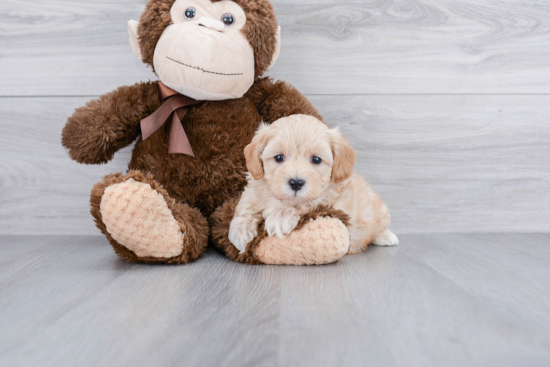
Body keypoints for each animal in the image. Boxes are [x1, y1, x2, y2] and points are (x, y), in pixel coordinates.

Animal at [230, 115, 402, 256]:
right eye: (279, 157)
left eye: (316, 159)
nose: (296, 183)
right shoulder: (255, 188)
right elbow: (247, 202)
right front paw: (240, 230)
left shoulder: (329, 200)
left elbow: (307, 203)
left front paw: (281, 217)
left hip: (379, 211)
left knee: (379, 227)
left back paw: (387, 236)